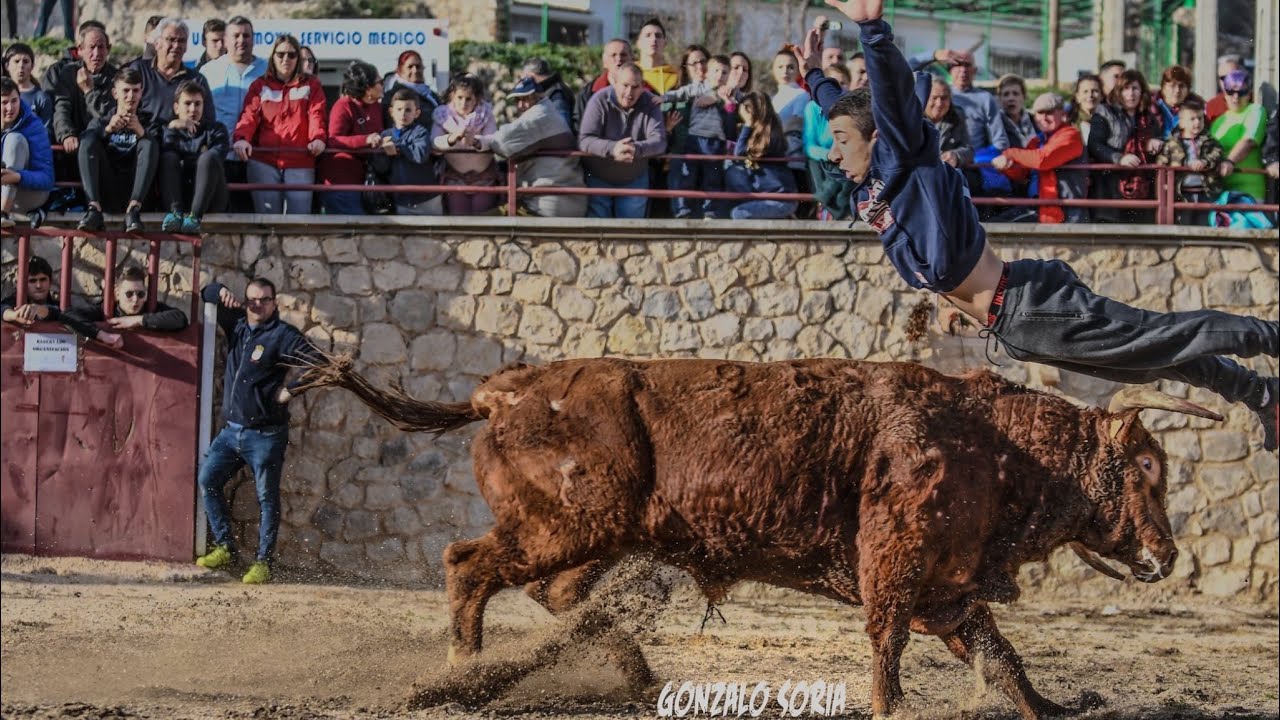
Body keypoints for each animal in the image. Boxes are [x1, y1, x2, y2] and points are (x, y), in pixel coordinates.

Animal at [302, 356, 1218, 712]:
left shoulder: (951, 593)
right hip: (562, 529)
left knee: (558, 596)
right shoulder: (897, 572)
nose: (1168, 554)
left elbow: (1004, 660)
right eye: (1145, 465)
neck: (991, 440)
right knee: (468, 566)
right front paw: (889, 707)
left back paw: (628, 672)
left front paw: (1051, 706)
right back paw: (458, 677)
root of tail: (507, 389)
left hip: (581, 540)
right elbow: (888, 644)